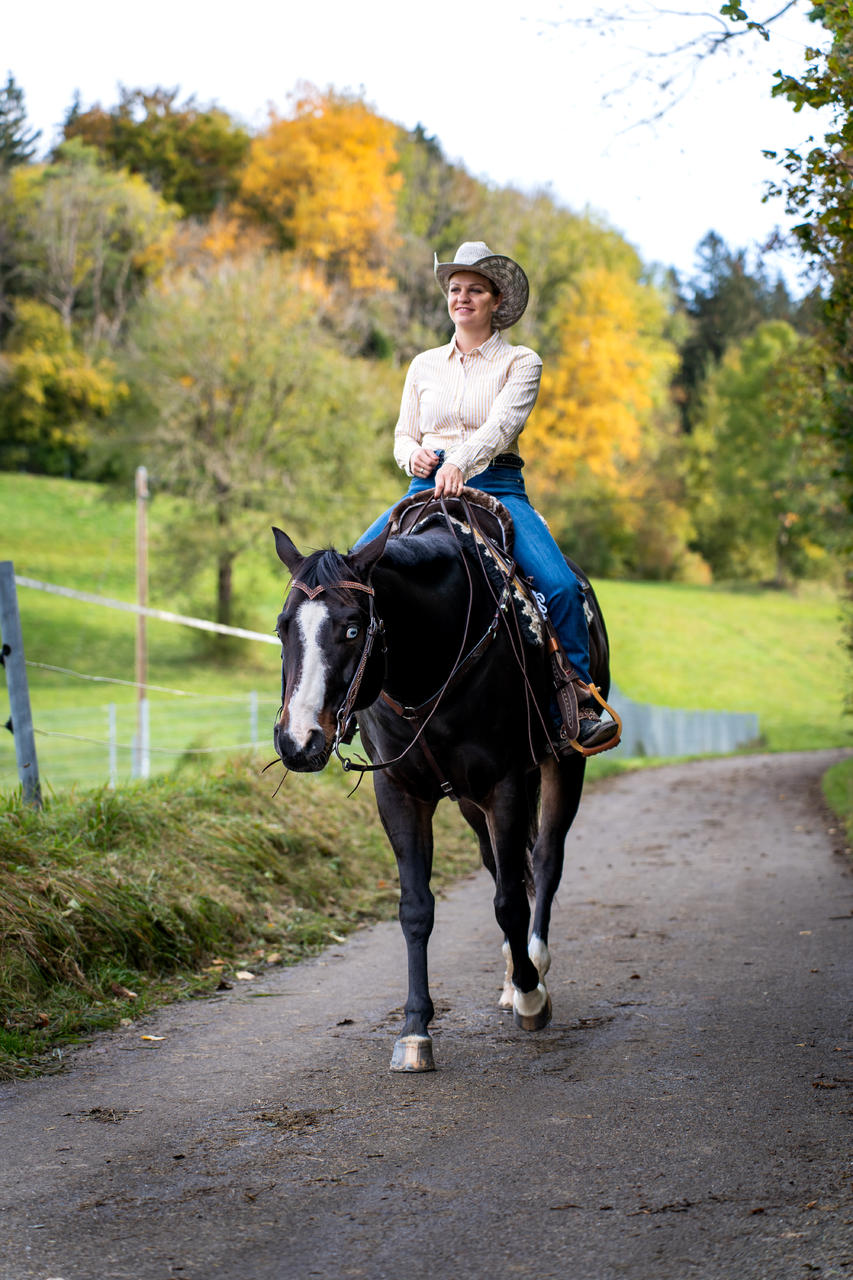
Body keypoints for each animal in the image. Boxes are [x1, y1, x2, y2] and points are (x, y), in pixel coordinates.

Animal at [272, 488, 612, 1070]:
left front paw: (531, 997)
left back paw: (533, 965)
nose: (299, 741)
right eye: (281, 626)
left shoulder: (505, 783)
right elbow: (417, 908)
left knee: (544, 860)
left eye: (353, 628)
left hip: (562, 765)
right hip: (470, 802)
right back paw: (512, 972)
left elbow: (510, 901)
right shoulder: (400, 793)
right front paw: (414, 1031)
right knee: (501, 865)